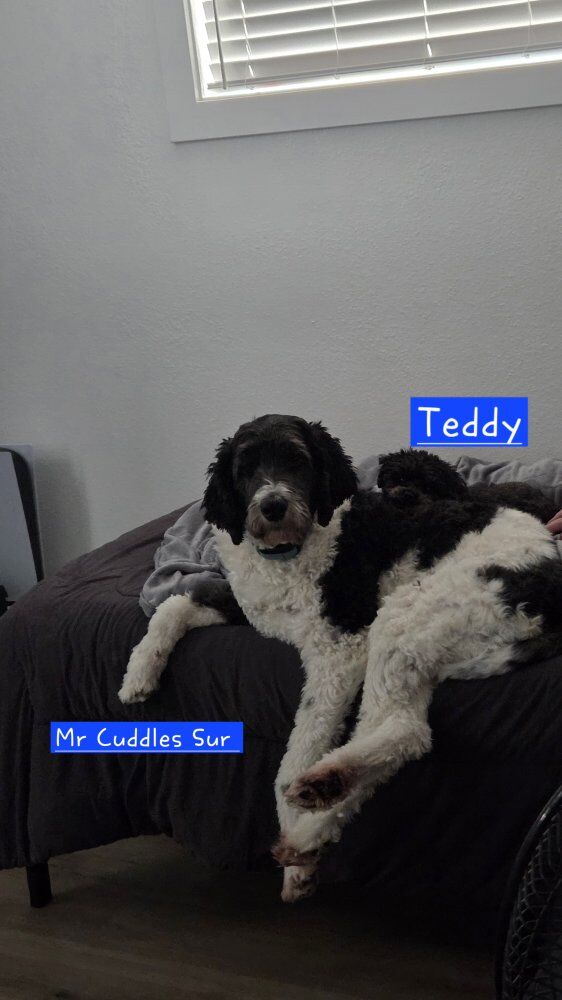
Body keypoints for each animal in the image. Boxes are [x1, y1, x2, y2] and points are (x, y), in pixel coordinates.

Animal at [119, 415, 562, 902]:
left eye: (297, 459)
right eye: (245, 468)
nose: (272, 506)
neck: (290, 551)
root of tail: (551, 589)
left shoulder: (340, 647)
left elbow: (293, 756)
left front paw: (296, 850)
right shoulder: (250, 610)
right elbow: (176, 603)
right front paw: (138, 674)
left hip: (404, 617)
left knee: (405, 731)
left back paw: (312, 818)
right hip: (424, 649)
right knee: (400, 732)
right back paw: (319, 813)